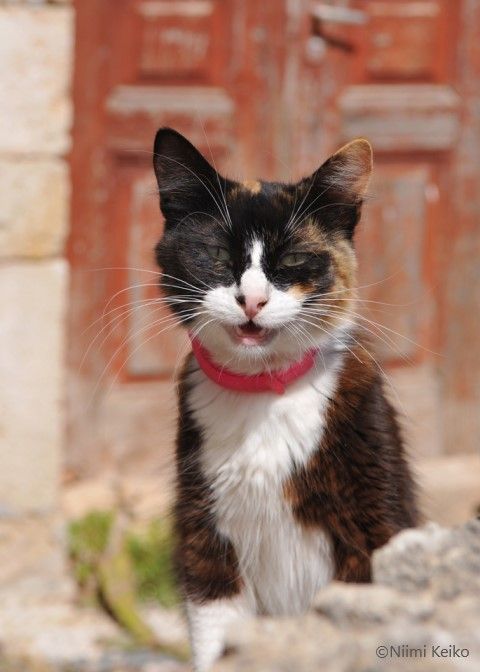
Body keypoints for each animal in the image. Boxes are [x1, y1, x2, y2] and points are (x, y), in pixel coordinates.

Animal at [152, 127, 419, 672]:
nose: (252, 300)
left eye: (292, 260)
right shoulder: (205, 537)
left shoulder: (378, 514)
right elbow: (214, 626)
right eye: (217, 256)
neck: (264, 393)